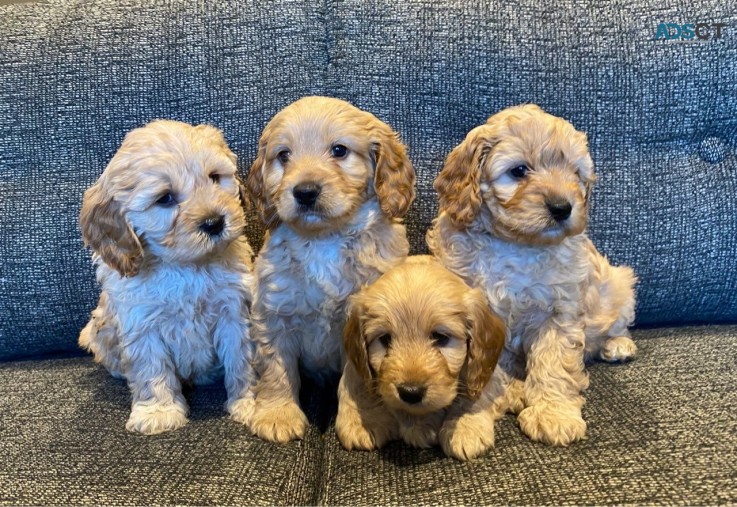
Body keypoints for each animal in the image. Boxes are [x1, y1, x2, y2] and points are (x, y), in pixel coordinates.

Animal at [78, 120, 254, 436]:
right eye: (165, 199)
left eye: (214, 177)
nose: (214, 222)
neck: (187, 266)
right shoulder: (141, 322)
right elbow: (151, 369)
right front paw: (158, 412)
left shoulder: (234, 310)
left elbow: (241, 357)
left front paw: (250, 403)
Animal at [242, 96, 414, 444]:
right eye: (284, 155)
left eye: (339, 150)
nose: (305, 191)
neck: (324, 239)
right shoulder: (273, 313)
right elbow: (275, 369)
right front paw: (277, 415)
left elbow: (358, 380)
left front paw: (363, 422)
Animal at [334, 258, 506, 460]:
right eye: (385, 339)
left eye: (440, 337)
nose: (410, 392)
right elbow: (357, 381)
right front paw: (366, 420)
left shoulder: (484, 369)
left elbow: (475, 392)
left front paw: (466, 427)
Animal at [426, 105, 640, 446]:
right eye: (519, 171)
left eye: (575, 174)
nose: (562, 207)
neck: (517, 244)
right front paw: (467, 422)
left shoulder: (560, 311)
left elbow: (555, 365)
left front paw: (554, 414)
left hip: (617, 284)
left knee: (617, 322)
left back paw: (618, 344)